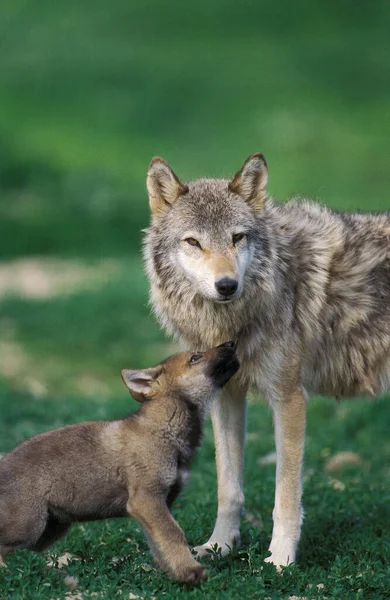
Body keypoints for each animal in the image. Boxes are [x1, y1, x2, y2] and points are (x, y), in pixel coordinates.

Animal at [0, 344, 238, 584]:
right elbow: (175, 535)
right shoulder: (146, 500)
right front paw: (190, 570)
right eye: (195, 357)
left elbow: (158, 546)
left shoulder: (156, 507)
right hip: (30, 526)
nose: (231, 344)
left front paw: (171, 573)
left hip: (50, 529)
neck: (164, 430)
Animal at [143, 152, 390, 568]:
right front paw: (219, 546)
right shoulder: (226, 396)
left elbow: (285, 494)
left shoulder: (288, 398)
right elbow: (228, 488)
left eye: (237, 237)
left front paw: (281, 559)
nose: (227, 285)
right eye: (193, 241)